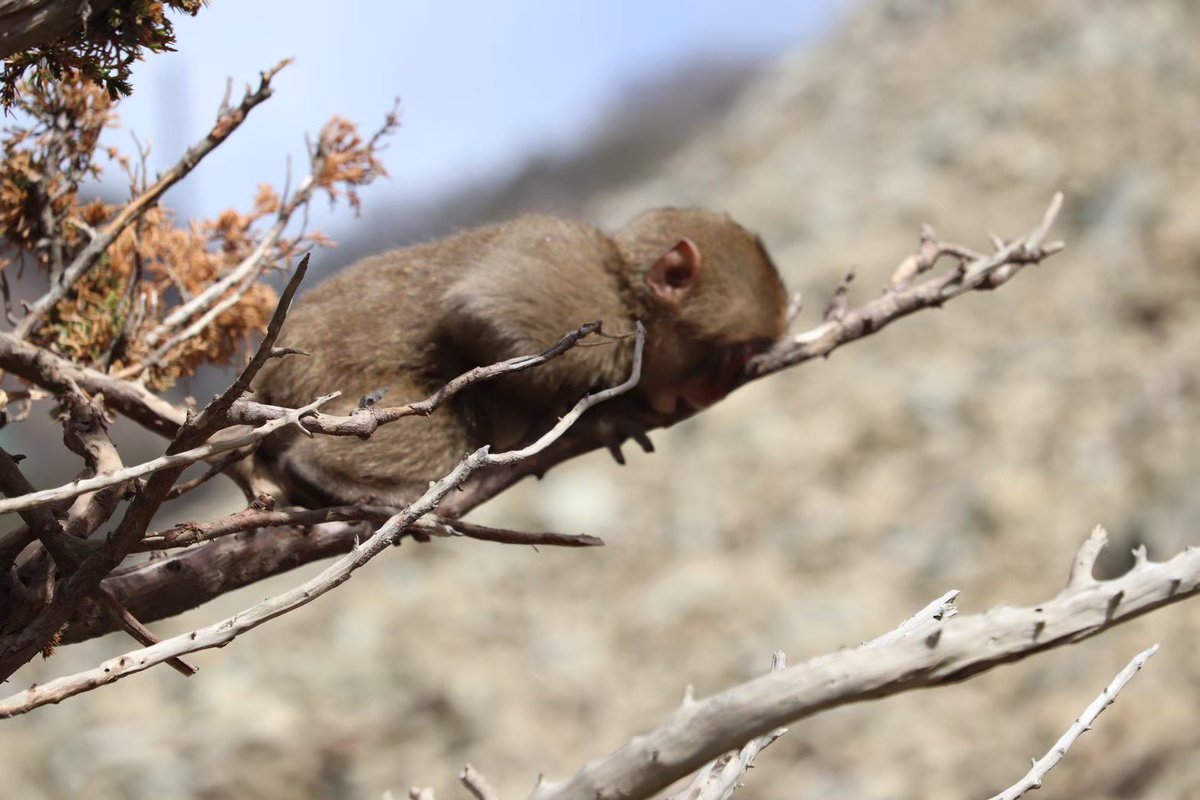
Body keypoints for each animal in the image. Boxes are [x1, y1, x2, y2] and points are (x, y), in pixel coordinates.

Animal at [252, 209, 789, 508]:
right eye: (732, 358)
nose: (710, 393)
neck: (629, 295)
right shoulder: (582, 289)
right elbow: (478, 311)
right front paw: (601, 412)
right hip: (319, 381)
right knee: (454, 427)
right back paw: (317, 472)